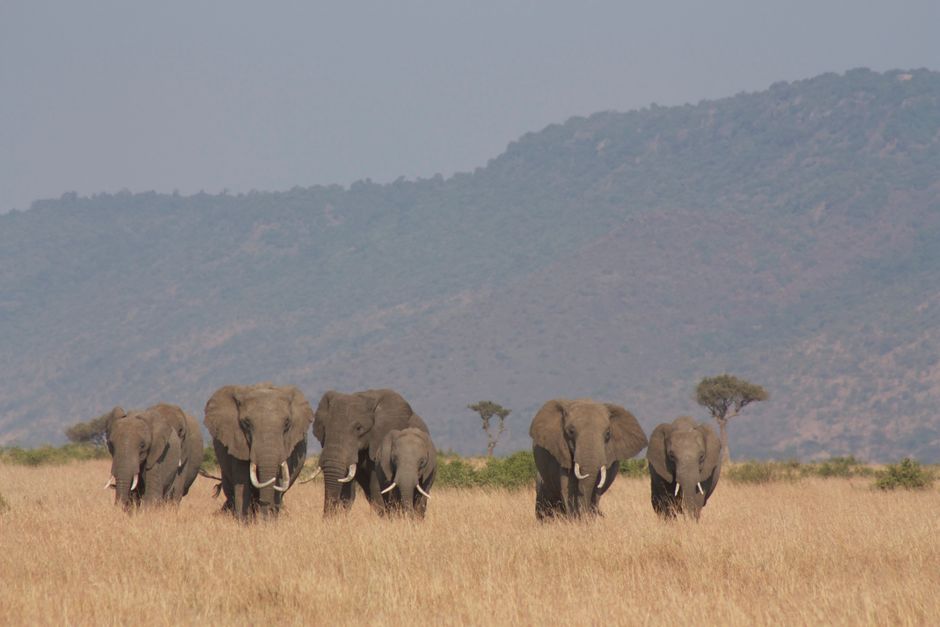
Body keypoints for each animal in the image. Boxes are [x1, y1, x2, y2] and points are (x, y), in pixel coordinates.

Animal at [204, 383, 313, 520]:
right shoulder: (237, 442)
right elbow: (242, 483)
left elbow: (277, 481)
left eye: (287, 424)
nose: (265, 514)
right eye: (246, 423)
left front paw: (269, 521)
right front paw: (244, 522)